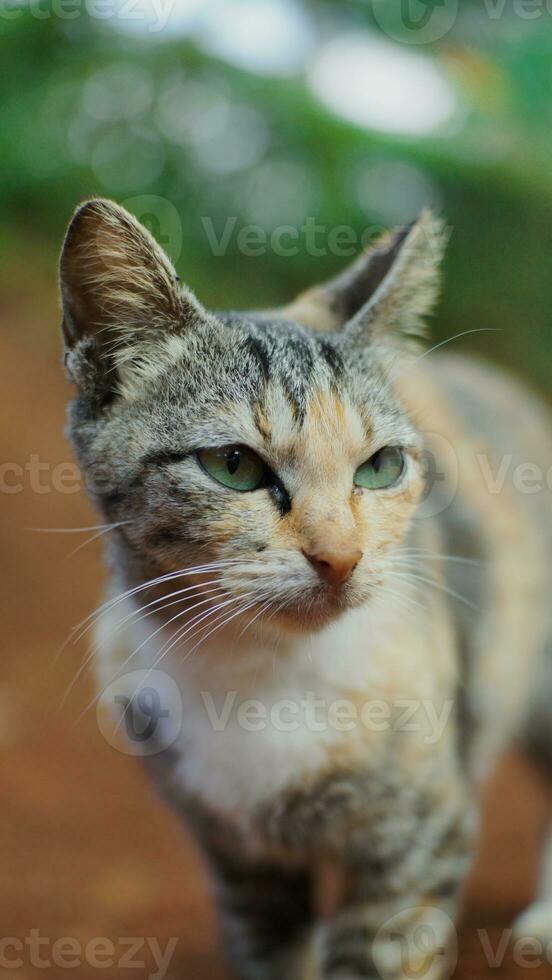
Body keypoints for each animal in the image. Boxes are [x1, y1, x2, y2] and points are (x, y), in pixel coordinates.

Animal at [59, 201, 552, 980]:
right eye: (233, 466)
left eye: (381, 467)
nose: (341, 556)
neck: (263, 669)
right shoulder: (238, 861)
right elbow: (268, 950)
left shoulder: (417, 844)